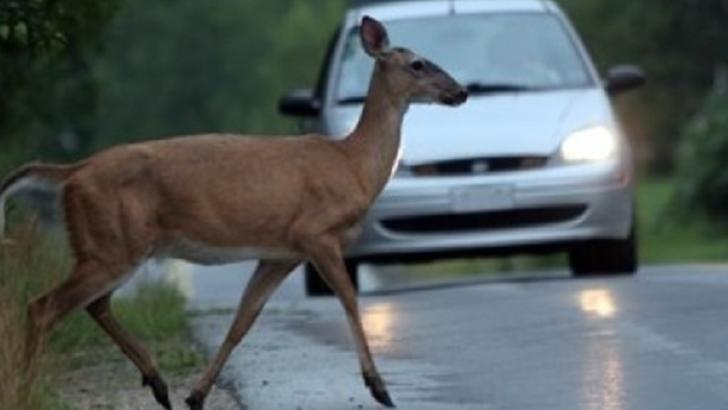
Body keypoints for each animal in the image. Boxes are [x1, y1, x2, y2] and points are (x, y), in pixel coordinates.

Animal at [0, 16, 466, 410]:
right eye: (418, 63)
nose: (460, 91)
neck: (352, 164)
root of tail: (73, 172)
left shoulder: (279, 253)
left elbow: (243, 320)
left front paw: (197, 394)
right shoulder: (316, 233)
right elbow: (349, 299)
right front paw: (380, 389)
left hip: (112, 245)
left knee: (94, 305)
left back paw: (159, 384)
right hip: (111, 243)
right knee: (42, 307)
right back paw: (29, 389)